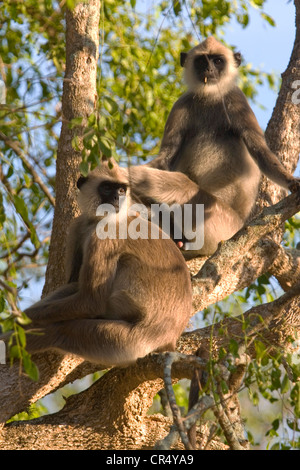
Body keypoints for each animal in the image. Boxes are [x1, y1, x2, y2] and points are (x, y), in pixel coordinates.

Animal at [19, 162, 192, 368]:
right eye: (107, 188)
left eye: (121, 190)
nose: (118, 198)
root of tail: (170, 338)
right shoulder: (77, 226)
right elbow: (74, 284)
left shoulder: (104, 234)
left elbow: (90, 301)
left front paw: (20, 320)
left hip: (129, 341)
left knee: (60, 331)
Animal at [145, 36, 300, 253]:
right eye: (202, 61)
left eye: (218, 61)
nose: (209, 69)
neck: (210, 96)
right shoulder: (181, 105)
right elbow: (165, 157)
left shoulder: (236, 100)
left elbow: (260, 151)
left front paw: (292, 182)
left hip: (223, 222)